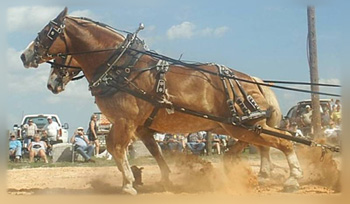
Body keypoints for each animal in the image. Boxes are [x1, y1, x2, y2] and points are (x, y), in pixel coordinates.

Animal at [21, 7, 304, 194]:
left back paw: (292, 178)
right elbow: (154, 151)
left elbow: (116, 147)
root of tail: (252, 80)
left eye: (48, 32)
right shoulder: (141, 126)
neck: (122, 67)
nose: (25, 56)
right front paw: (160, 180)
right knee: (260, 144)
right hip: (235, 127)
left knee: (282, 141)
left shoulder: (125, 121)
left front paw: (128, 184)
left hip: (243, 126)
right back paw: (254, 174)